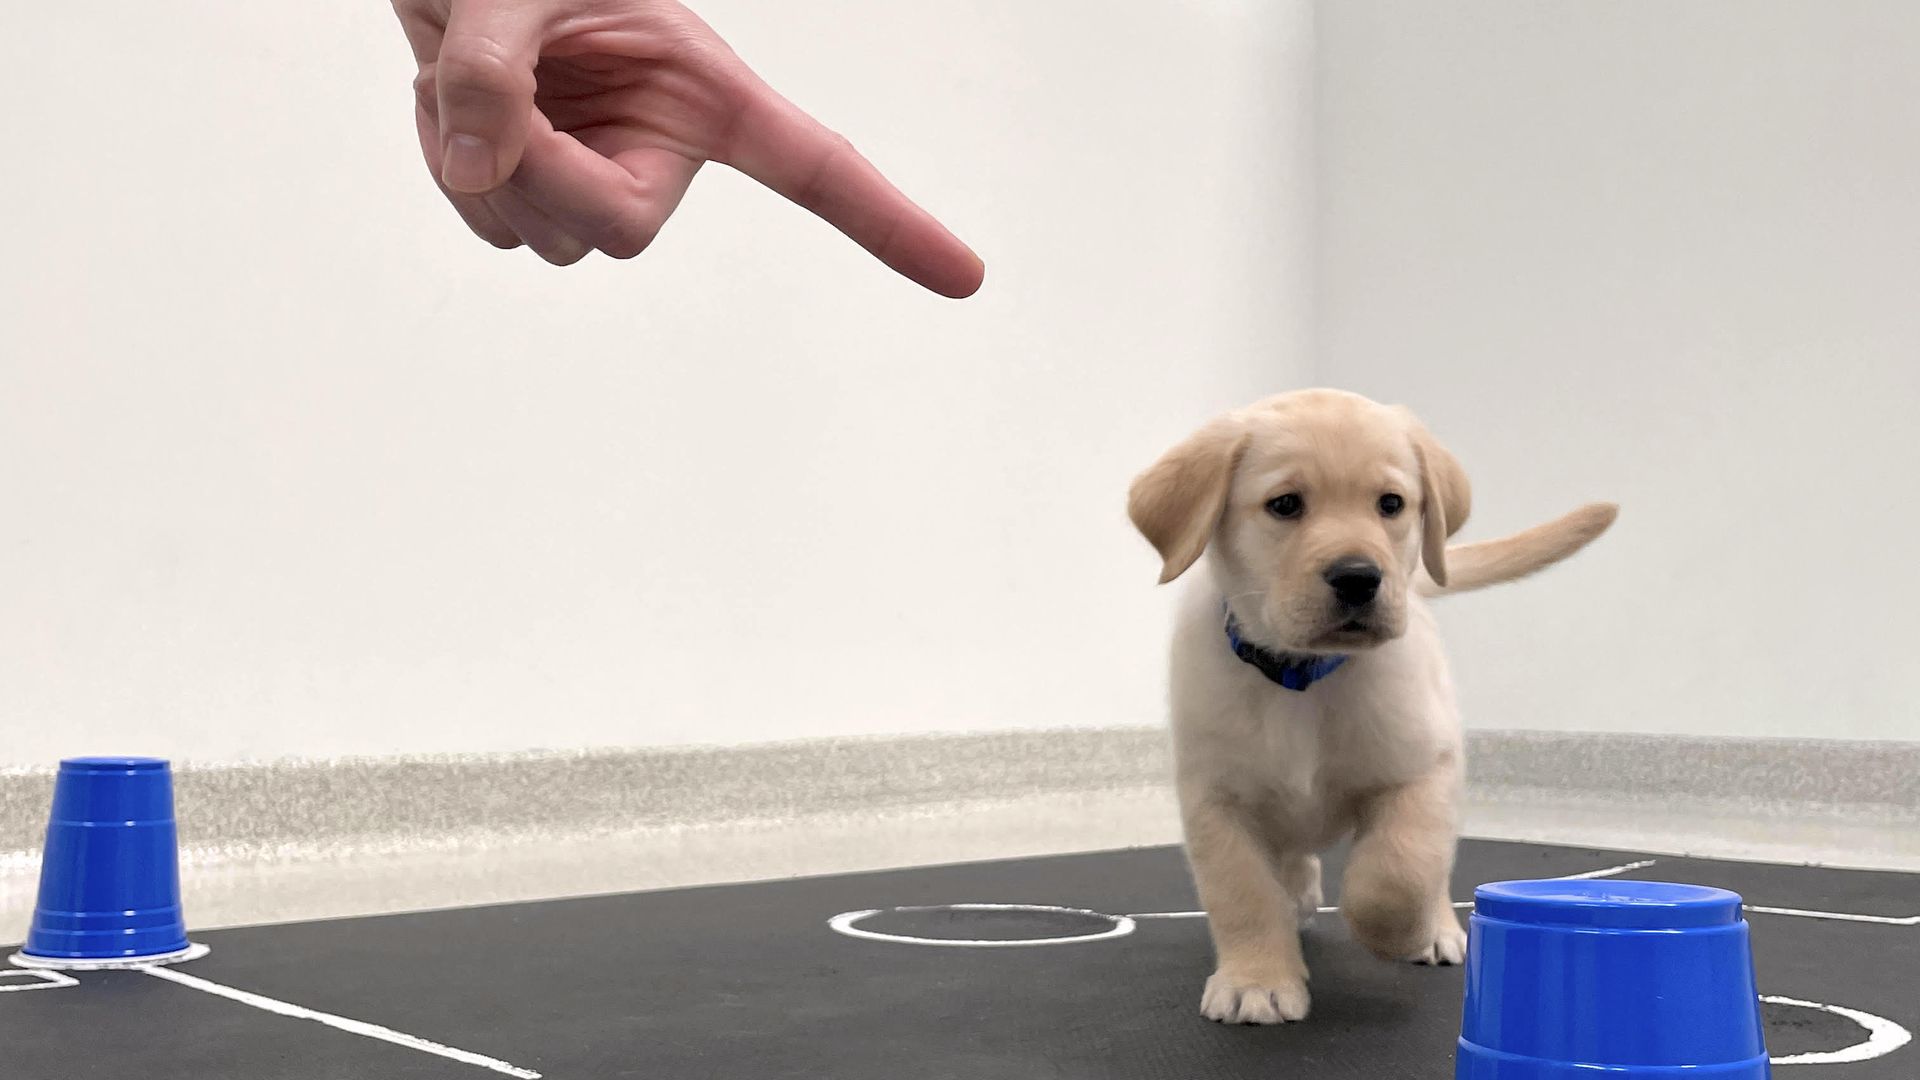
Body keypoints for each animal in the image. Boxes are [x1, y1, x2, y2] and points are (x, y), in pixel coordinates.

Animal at [1121, 386, 1620, 1014]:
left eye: (1391, 504)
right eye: (1285, 504)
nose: (1359, 577)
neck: (1303, 678)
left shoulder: (1422, 770)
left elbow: (1397, 872)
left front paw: (1400, 933)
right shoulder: (1215, 799)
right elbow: (1242, 893)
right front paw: (1256, 981)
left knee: (1432, 864)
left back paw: (1437, 928)